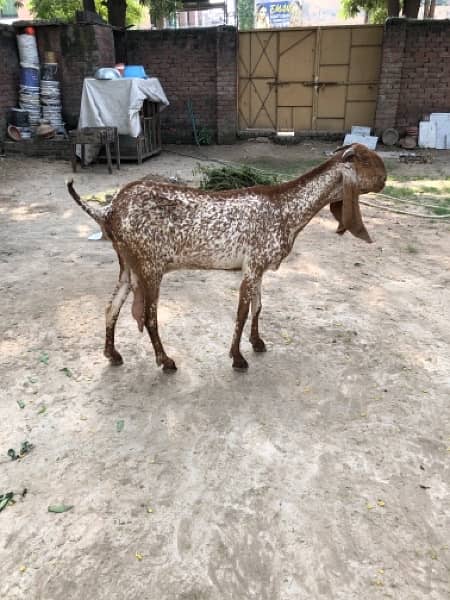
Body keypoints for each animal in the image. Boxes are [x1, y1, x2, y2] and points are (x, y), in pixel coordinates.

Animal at [67, 144, 386, 370]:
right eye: (368, 161)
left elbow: (258, 307)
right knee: (149, 316)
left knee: (111, 308)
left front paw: (257, 343)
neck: (285, 207)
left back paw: (112, 354)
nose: (385, 180)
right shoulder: (252, 266)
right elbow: (242, 313)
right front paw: (238, 358)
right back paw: (165, 362)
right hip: (150, 266)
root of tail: (109, 210)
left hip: (128, 266)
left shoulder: (257, 268)